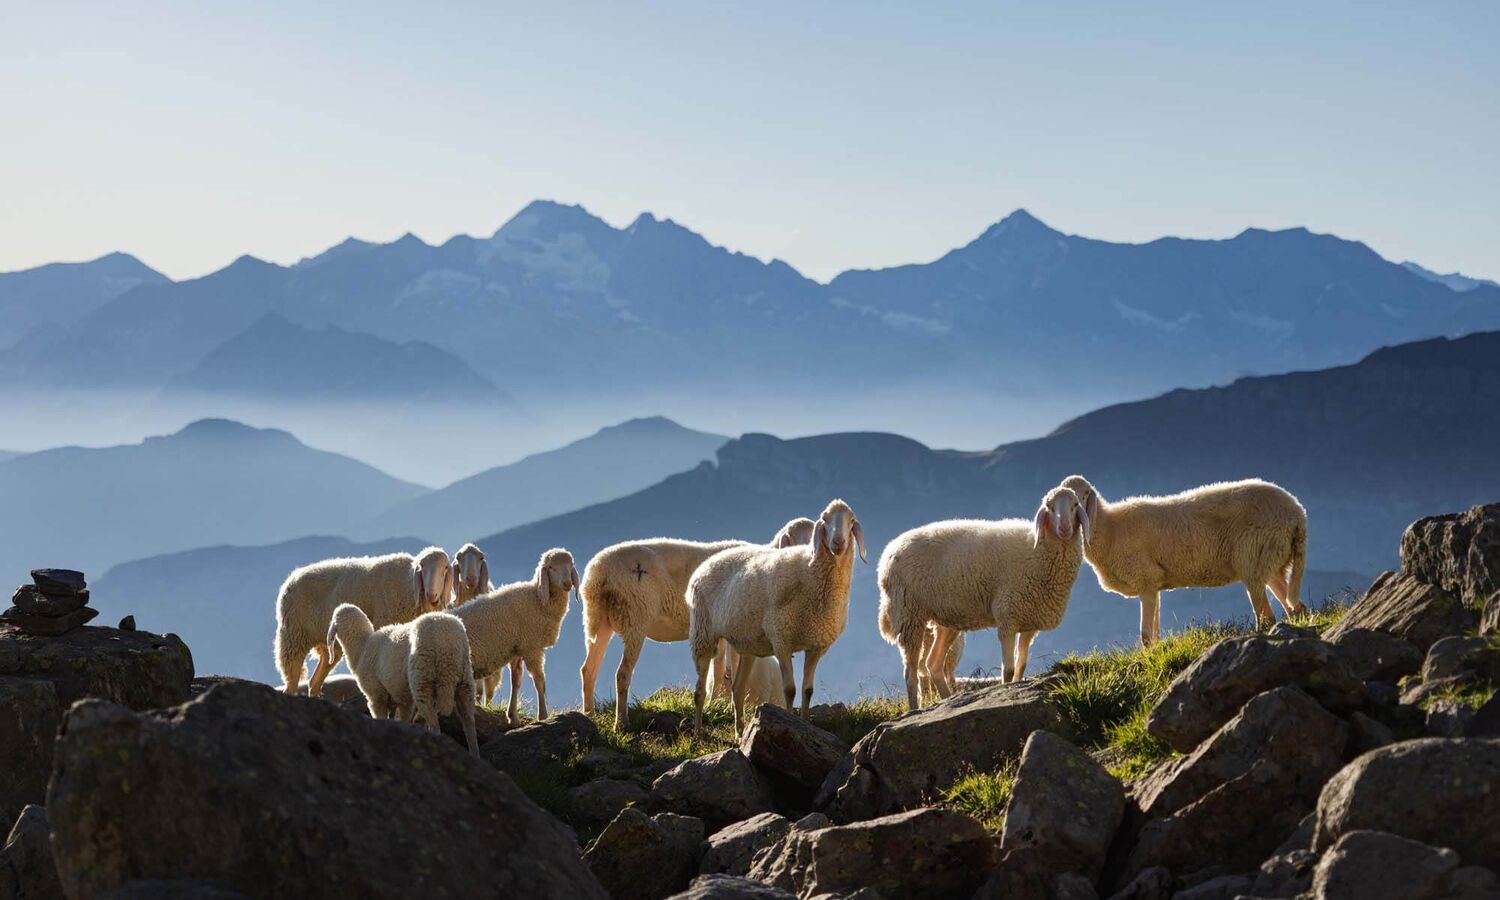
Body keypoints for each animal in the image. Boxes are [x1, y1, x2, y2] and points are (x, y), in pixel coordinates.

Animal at [274, 547, 452, 696]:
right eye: (422, 568)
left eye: (445, 568)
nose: (432, 595)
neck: (407, 585)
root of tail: (291, 578)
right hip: (294, 635)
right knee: (292, 677)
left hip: (328, 645)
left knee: (314, 681)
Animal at [453, 548, 579, 725]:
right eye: (551, 567)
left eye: (570, 564)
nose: (567, 583)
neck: (538, 598)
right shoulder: (532, 648)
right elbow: (540, 682)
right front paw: (543, 716)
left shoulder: (517, 649)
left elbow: (516, 682)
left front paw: (513, 717)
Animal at [688, 499, 867, 738]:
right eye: (825, 519)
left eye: (851, 521)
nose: (838, 542)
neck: (812, 574)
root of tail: (707, 563)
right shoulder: (782, 639)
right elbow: (789, 690)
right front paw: (791, 723)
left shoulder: (816, 644)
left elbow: (807, 691)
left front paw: (806, 724)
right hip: (703, 633)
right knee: (699, 691)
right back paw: (698, 733)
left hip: (747, 644)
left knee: (737, 689)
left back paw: (739, 733)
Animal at [877, 486, 1088, 710]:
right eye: (1049, 507)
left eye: (1075, 505)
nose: (1064, 528)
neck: (1039, 550)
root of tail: (889, 552)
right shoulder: (1008, 616)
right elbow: (1008, 670)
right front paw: (1006, 693)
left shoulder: (1029, 622)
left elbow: (1021, 666)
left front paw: (1017, 688)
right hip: (909, 614)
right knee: (911, 672)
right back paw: (915, 709)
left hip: (946, 620)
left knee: (933, 664)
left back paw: (947, 701)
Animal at [1059, 475, 1308, 645]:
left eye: (1083, 495)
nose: (1065, 525)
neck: (1110, 529)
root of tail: (1297, 512)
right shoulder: (1153, 584)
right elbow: (1155, 634)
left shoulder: (1145, 579)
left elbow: (1146, 636)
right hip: (1270, 559)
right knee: (1293, 606)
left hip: (1254, 558)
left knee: (1267, 615)